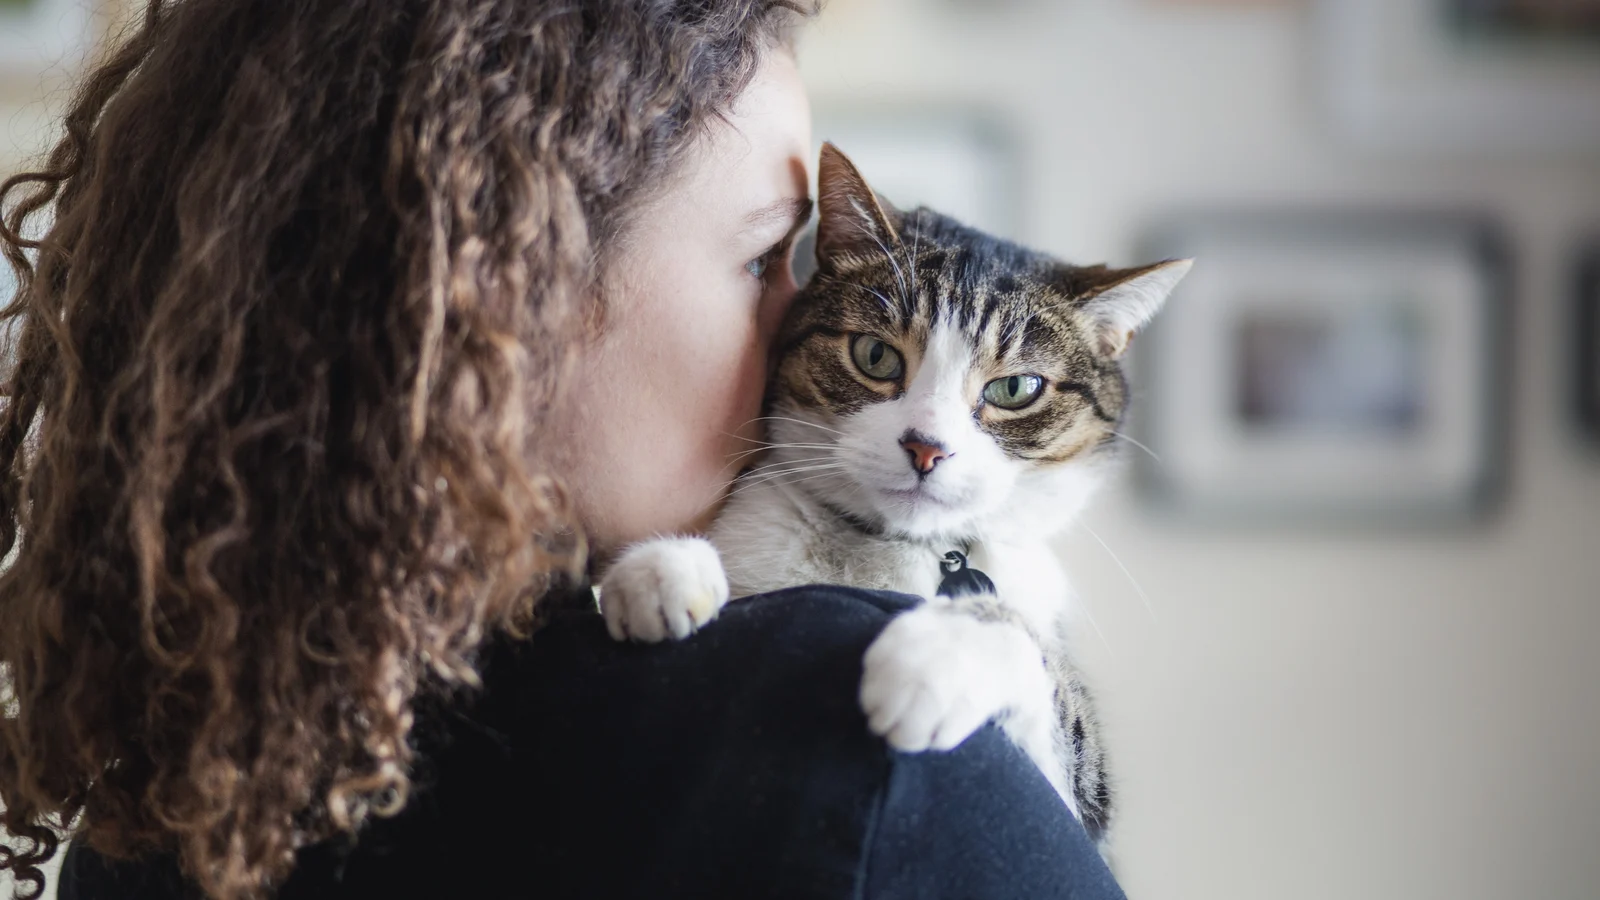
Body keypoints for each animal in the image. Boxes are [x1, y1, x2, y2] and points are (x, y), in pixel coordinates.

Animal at [592, 141, 1190, 839]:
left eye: (1016, 388)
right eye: (875, 355)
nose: (926, 447)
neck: (893, 550)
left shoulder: (1084, 801)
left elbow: (1046, 686)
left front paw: (937, 658)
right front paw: (661, 571)